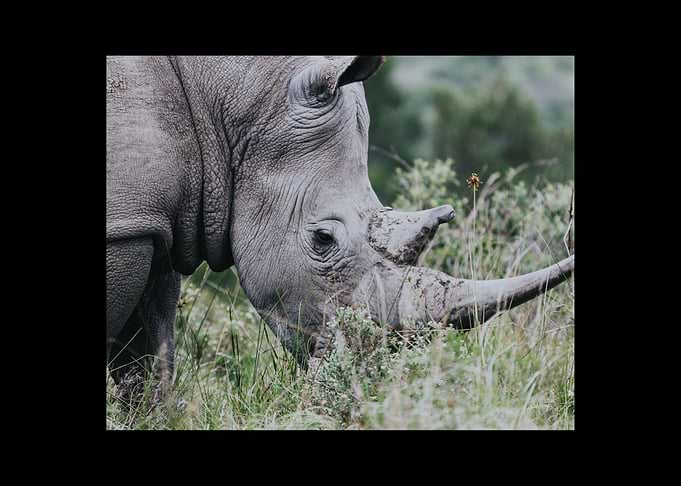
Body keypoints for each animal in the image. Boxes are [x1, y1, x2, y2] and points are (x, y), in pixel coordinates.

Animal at [106, 56, 574, 389]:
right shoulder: (125, 226)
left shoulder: (150, 222)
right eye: (323, 239)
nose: (374, 365)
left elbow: (149, 353)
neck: (224, 104)